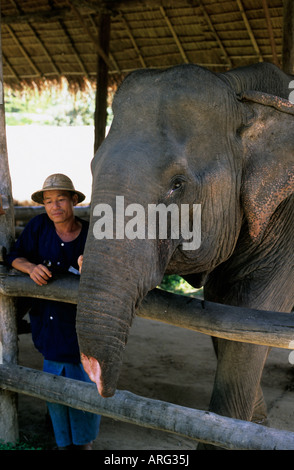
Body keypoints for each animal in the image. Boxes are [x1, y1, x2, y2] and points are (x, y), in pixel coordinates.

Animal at [76, 61, 294, 448]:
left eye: (178, 185)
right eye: (91, 167)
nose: (101, 385)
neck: (241, 92)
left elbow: (254, 313)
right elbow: (225, 313)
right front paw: (257, 425)